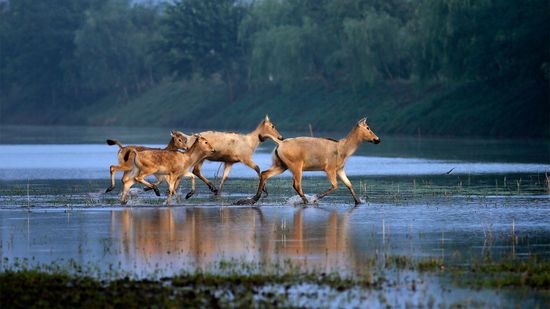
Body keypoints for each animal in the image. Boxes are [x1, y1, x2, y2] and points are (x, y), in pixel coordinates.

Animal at [237, 117, 384, 205]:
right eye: (368, 128)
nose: (377, 139)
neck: (344, 149)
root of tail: (280, 143)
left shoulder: (340, 169)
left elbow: (349, 184)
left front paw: (358, 201)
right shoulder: (329, 169)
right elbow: (335, 185)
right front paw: (316, 197)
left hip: (281, 165)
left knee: (264, 173)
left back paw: (253, 199)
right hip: (296, 166)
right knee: (296, 184)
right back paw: (307, 201)